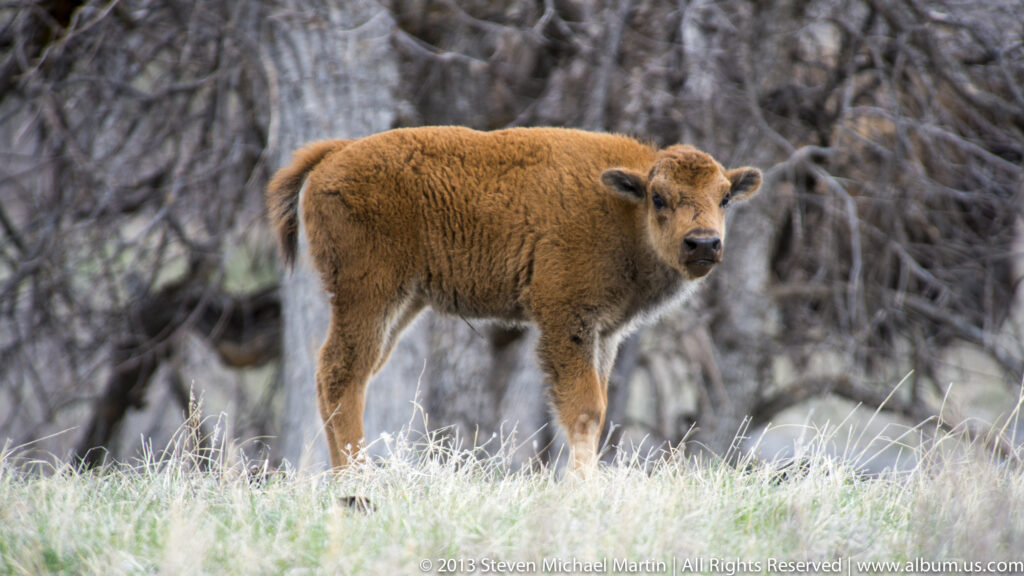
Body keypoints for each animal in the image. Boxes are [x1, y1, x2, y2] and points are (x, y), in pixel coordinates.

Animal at [266, 126, 762, 474]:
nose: (703, 243)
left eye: (725, 198)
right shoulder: (566, 322)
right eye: (659, 197)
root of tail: (336, 154)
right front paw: (583, 491)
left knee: (345, 378)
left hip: (399, 306)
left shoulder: (604, 335)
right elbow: (584, 410)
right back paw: (357, 485)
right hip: (369, 296)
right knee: (339, 373)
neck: (623, 207)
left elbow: (597, 411)